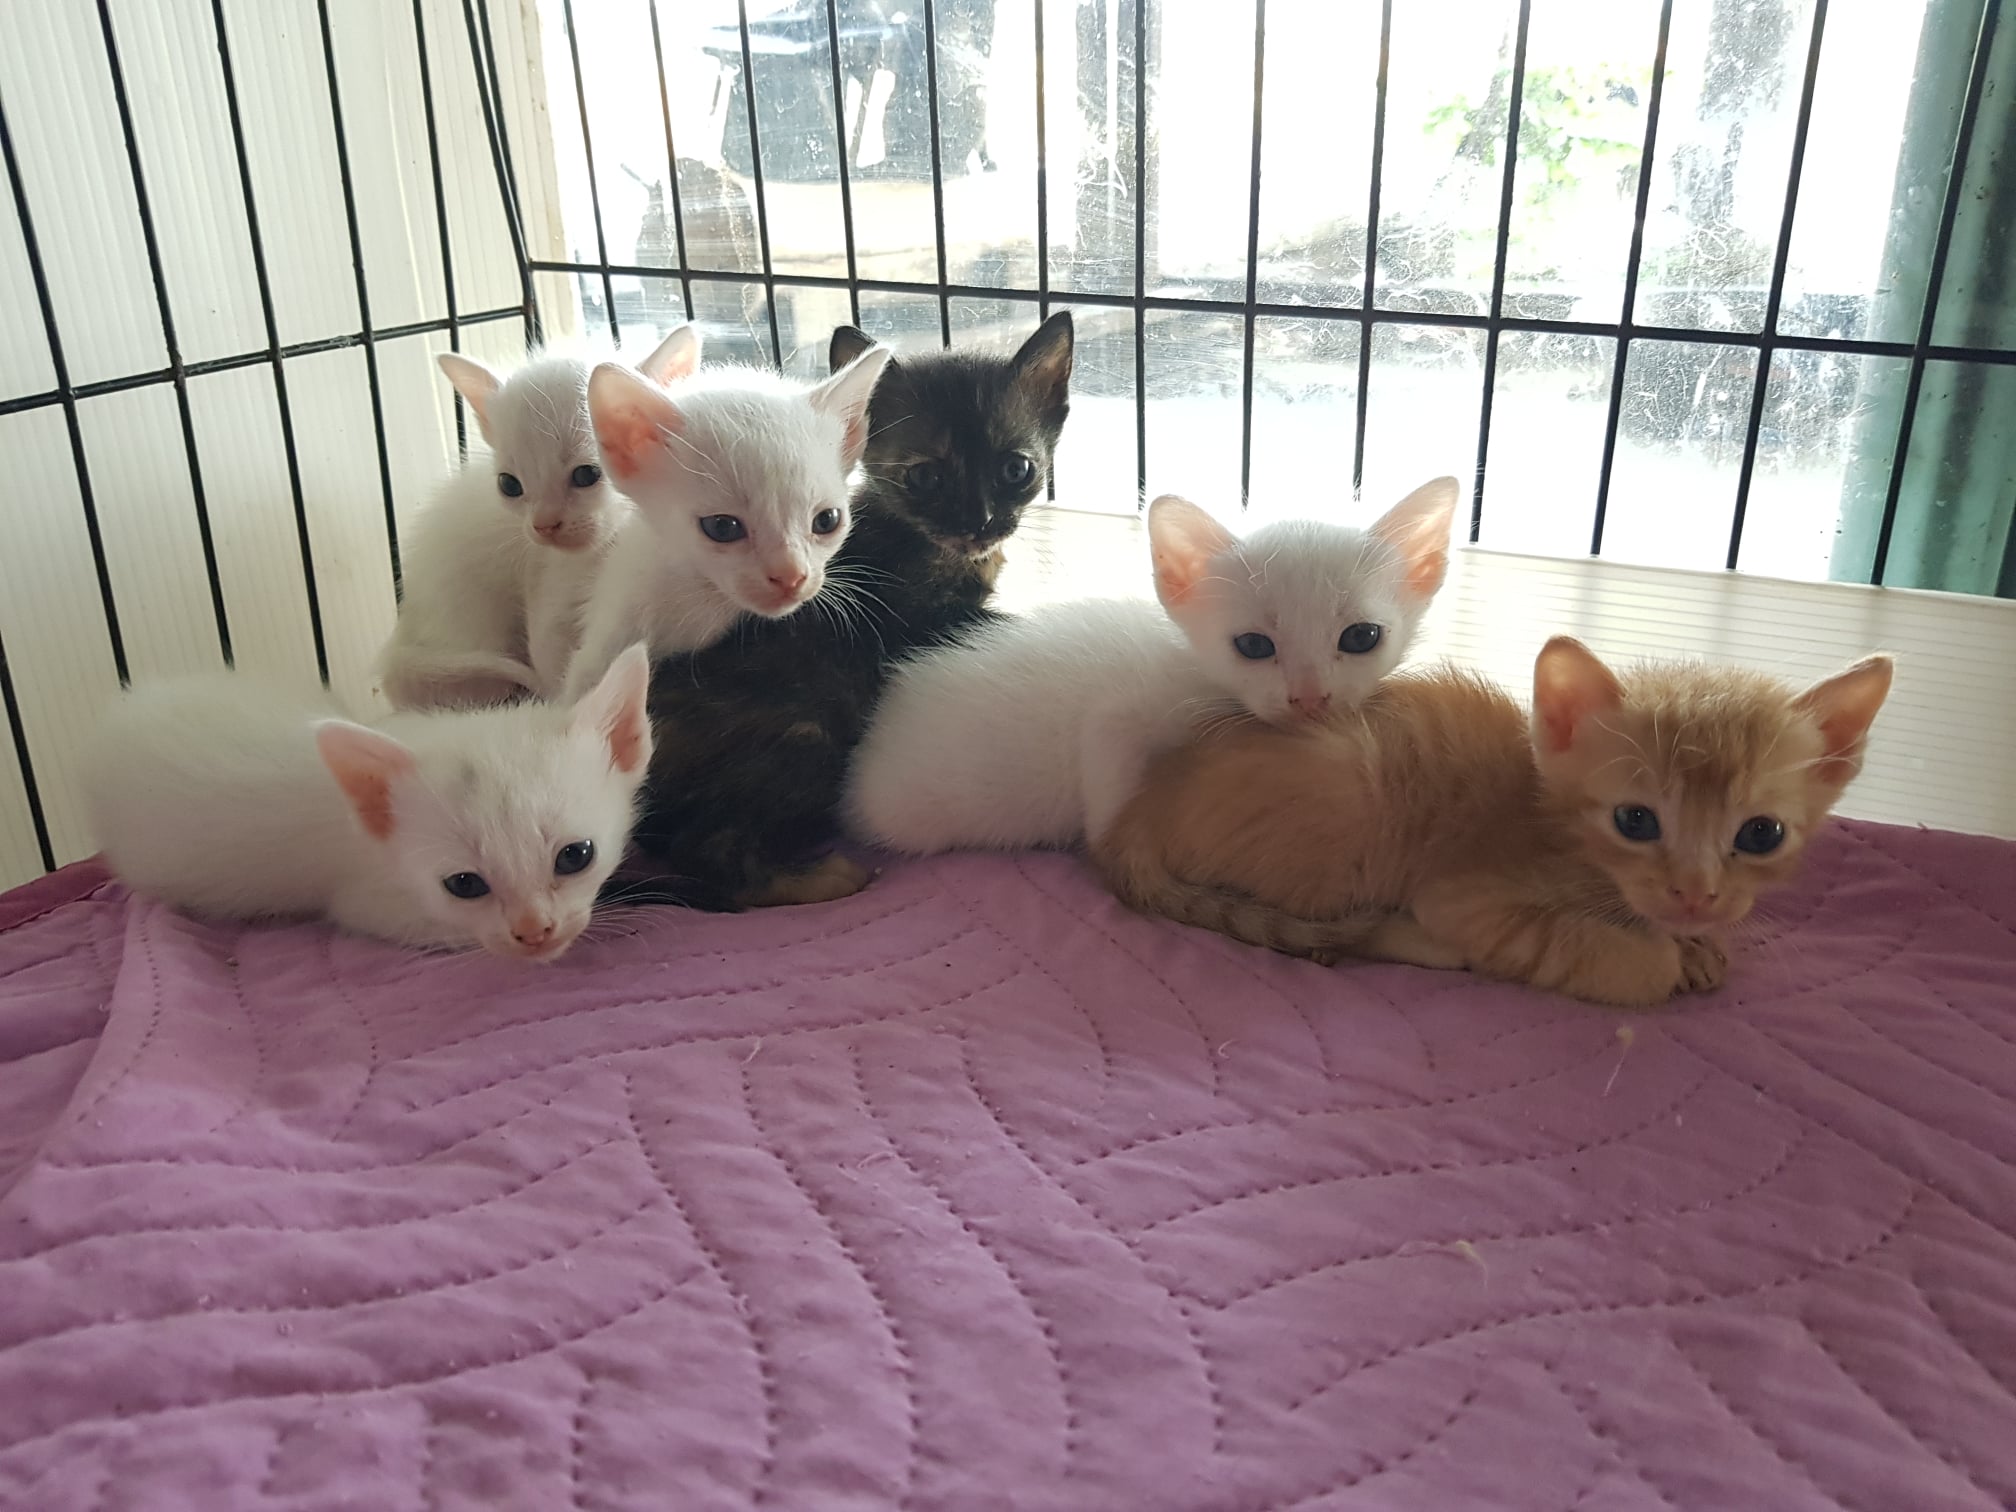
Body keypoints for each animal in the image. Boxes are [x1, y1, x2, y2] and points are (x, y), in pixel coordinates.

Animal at [618, 311, 1075, 911]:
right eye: (926, 476)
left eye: (1016, 469)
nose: (978, 521)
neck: (931, 544)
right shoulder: (922, 626)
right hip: (811, 733)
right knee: (709, 855)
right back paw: (824, 879)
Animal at [843, 477, 1457, 854]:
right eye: (1253, 646)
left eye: (1362, 637)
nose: (1309, 698)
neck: (1202, 678)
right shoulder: (1116, 718)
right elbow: (1106, 790)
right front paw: (1119, 842)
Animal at [1093, 636, 1894, 1008]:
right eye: (1636, 820)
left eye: (1761, 834)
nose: (1695, 894)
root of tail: (1136, 811)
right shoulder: (1473, 900)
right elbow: (1619, 960)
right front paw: (1665, 957)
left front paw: (1696, 941)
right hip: (1353, 816)